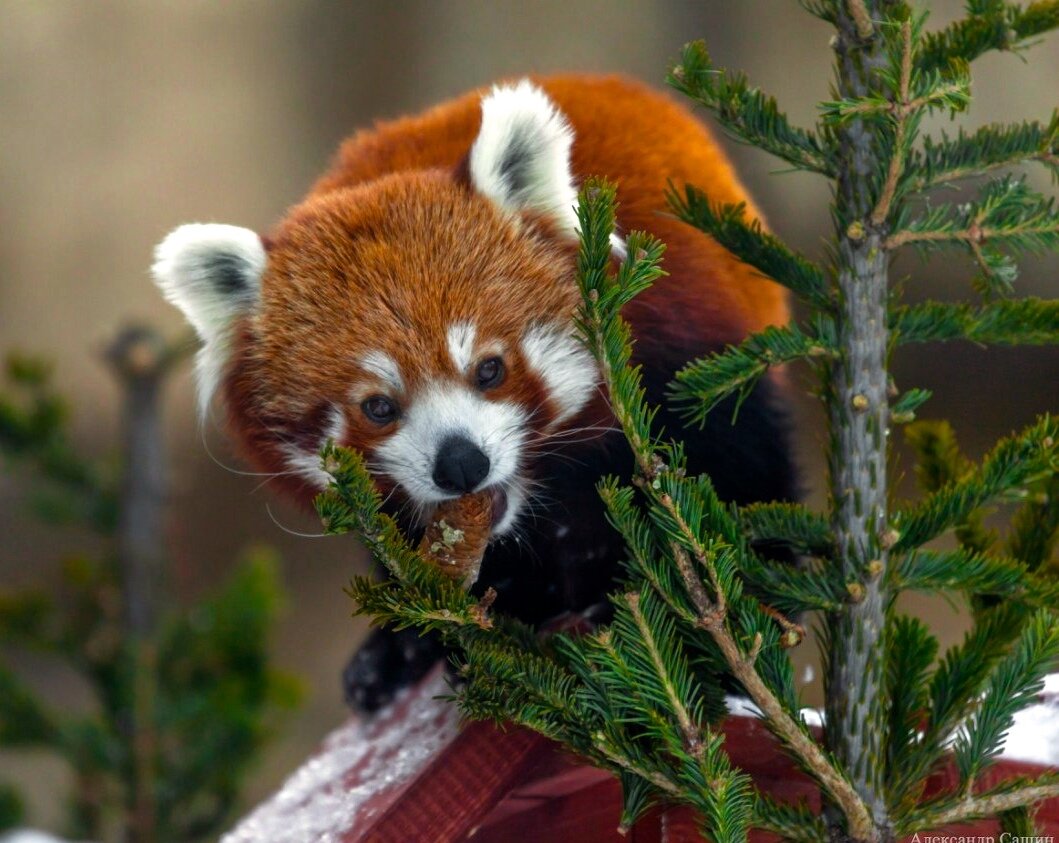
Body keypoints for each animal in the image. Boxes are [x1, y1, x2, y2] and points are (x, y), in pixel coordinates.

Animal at [149, 77, 796, 711]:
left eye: (488, 370)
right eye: (378, 406)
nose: (461, 464)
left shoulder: (685, 358)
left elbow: (733, 476)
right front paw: (415, 646)